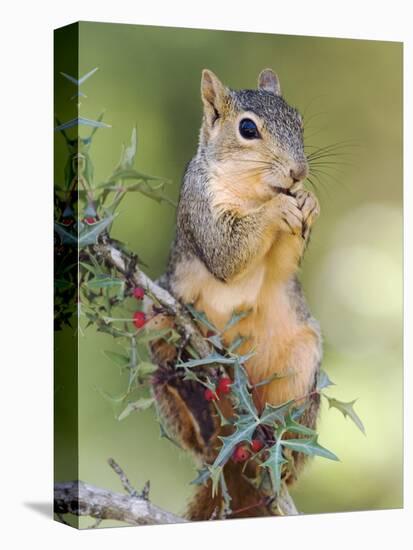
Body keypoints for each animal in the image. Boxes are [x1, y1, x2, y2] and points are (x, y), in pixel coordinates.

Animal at [148, 69, 322, 520]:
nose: (299, 172)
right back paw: (200, 416)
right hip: (159, 328)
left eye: (300, 122)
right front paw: (277, 211)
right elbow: (227, 252)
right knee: (196, 433)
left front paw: (309, 201)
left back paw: (278, 448)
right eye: (247, 129)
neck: (255, 191)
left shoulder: (282, 266)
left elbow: (282, 265)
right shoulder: (200, 207)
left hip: (301, 366)